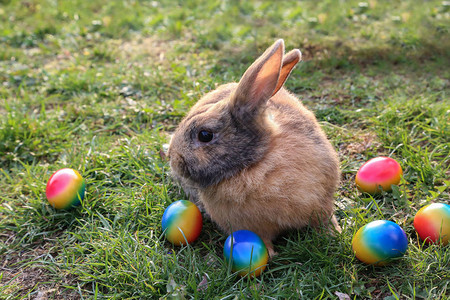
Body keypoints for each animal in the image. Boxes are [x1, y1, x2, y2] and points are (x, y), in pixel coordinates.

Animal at [169, 39, 342, 255]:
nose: (173, 159)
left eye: (205, 135)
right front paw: (268, 254)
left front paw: (334, 233)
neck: (257, 163)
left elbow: (325, 219)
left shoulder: (322, 203)